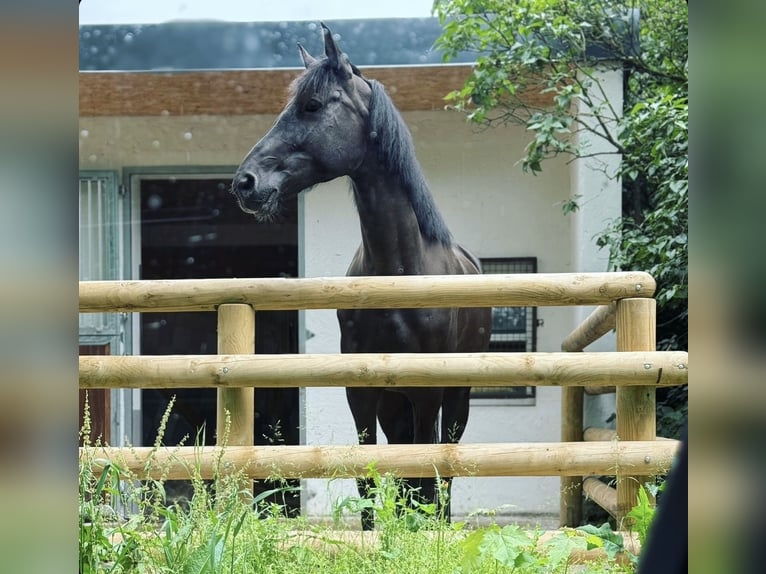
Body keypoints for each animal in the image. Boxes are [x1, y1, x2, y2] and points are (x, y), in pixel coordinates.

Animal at [231, 23, 492, 532]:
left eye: (312, 105)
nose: (245, 182)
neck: (398, 273)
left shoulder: (428, 393)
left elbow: (426, 479)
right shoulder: (362, 393)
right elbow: (369, 480)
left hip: (456, 398)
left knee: (444, 474)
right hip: (395, 406)